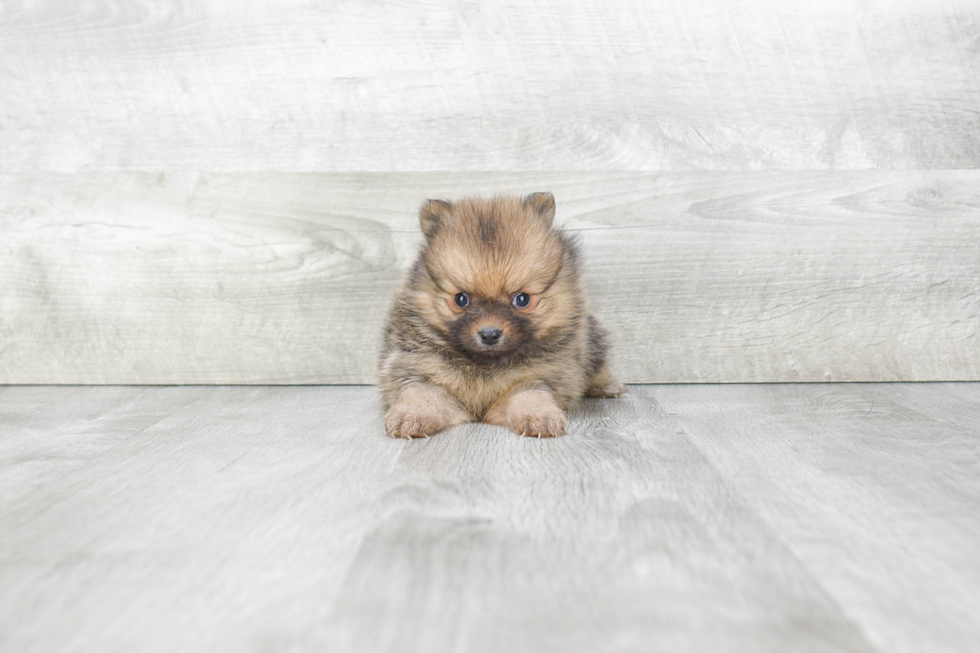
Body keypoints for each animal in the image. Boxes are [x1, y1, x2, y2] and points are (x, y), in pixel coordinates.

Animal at [378, 194, 624, 438]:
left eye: (522, 299)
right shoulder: (421, 369)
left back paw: (605, 385)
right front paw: (411, 416)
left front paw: (539, 417)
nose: (489, 334)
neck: (485, 365)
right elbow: (421, 394)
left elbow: (530, 394)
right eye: (461, 299)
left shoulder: (537, 375)